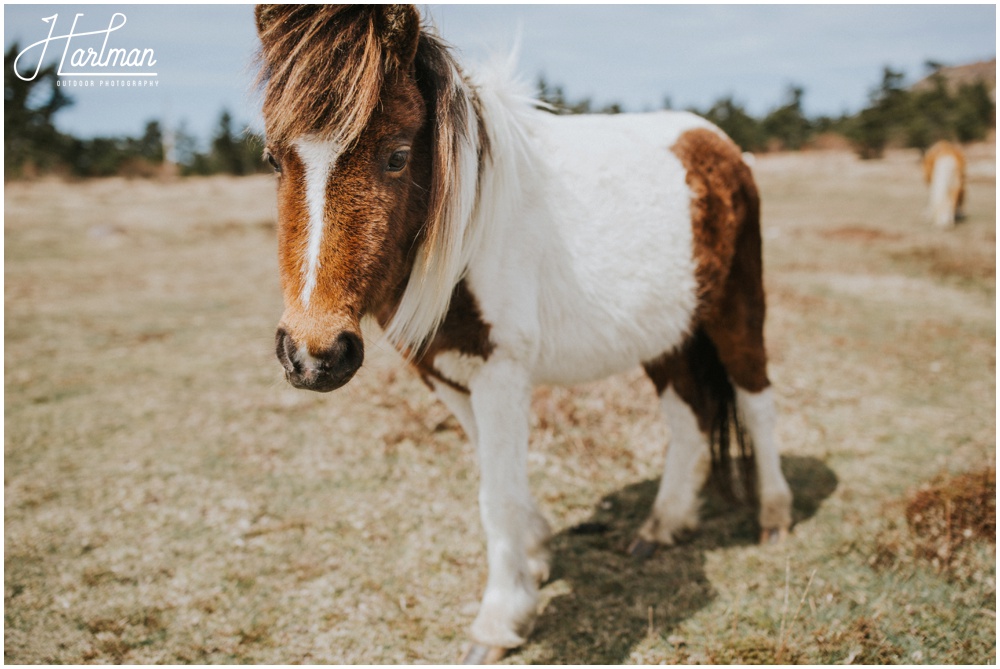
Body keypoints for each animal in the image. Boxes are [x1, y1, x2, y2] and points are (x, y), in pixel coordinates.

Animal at [254, 5, 792, 660]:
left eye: (397, 156)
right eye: (274, 159)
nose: (313, 356)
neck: (470, 228)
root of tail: (717, 143)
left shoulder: (501, 374)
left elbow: (499, 494)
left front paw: (501, 619)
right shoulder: (446, 374)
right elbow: (492, 472)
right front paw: (534, 555)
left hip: (736, 309)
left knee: (756, 399)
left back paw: (774, 518)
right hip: (667, 334)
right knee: (687, 416)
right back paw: (663, 525)